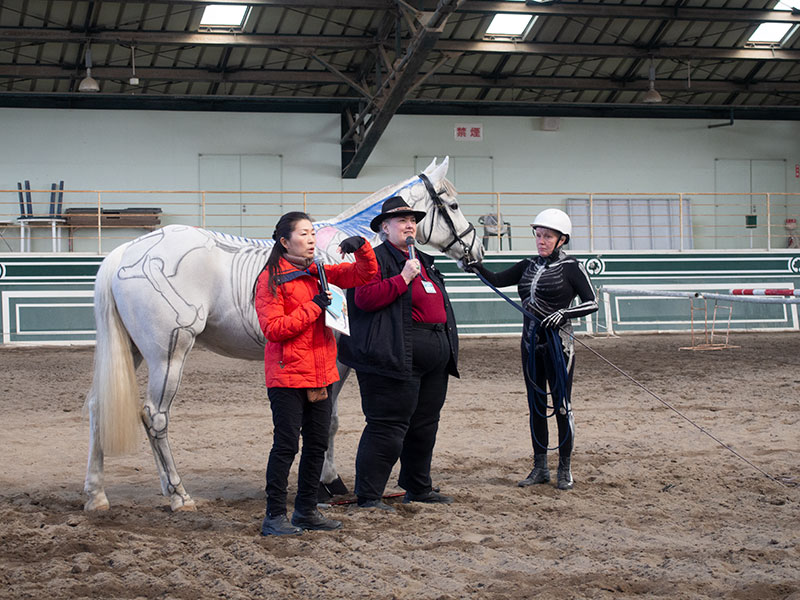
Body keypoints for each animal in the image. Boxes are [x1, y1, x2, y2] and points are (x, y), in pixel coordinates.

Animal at [83, 158, 482, 510]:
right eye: (453, 205)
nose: (476, 249)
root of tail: (126, 254)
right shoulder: (339, 361)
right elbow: (331, 420)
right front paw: (328, 483)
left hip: (133, 353)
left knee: (98, 406)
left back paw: (96, 496)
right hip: (169, 354)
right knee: (155, 418)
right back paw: (179, 496)